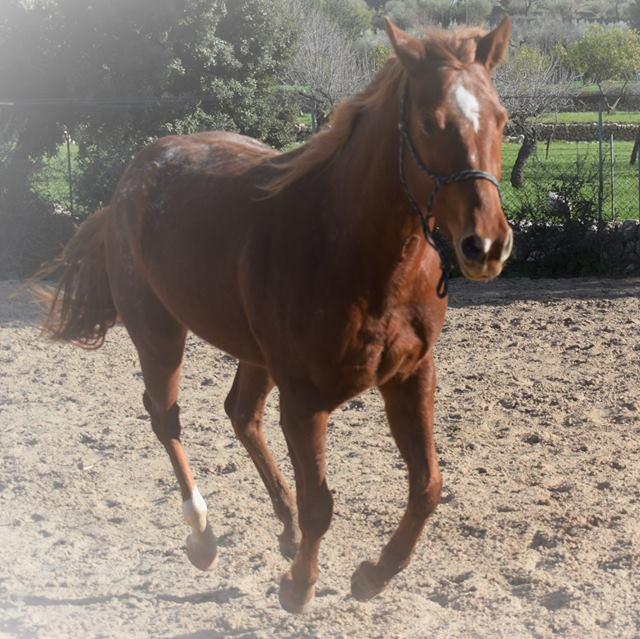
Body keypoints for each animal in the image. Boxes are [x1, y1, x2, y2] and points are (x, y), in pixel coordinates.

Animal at [41, 17, 513, 613]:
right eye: (431, 122)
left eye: (502, 119)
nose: (486, 245)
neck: (355, 252)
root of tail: (127, 185)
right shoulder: (305, 400)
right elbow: (321, 504)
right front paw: (299, 587)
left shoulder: (411, 377)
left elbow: (427, 486)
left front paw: (372, 575)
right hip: (159, 335)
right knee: (166, 418)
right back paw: (203, 537)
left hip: (253, 355)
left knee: (240, 414)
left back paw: (283, 528)